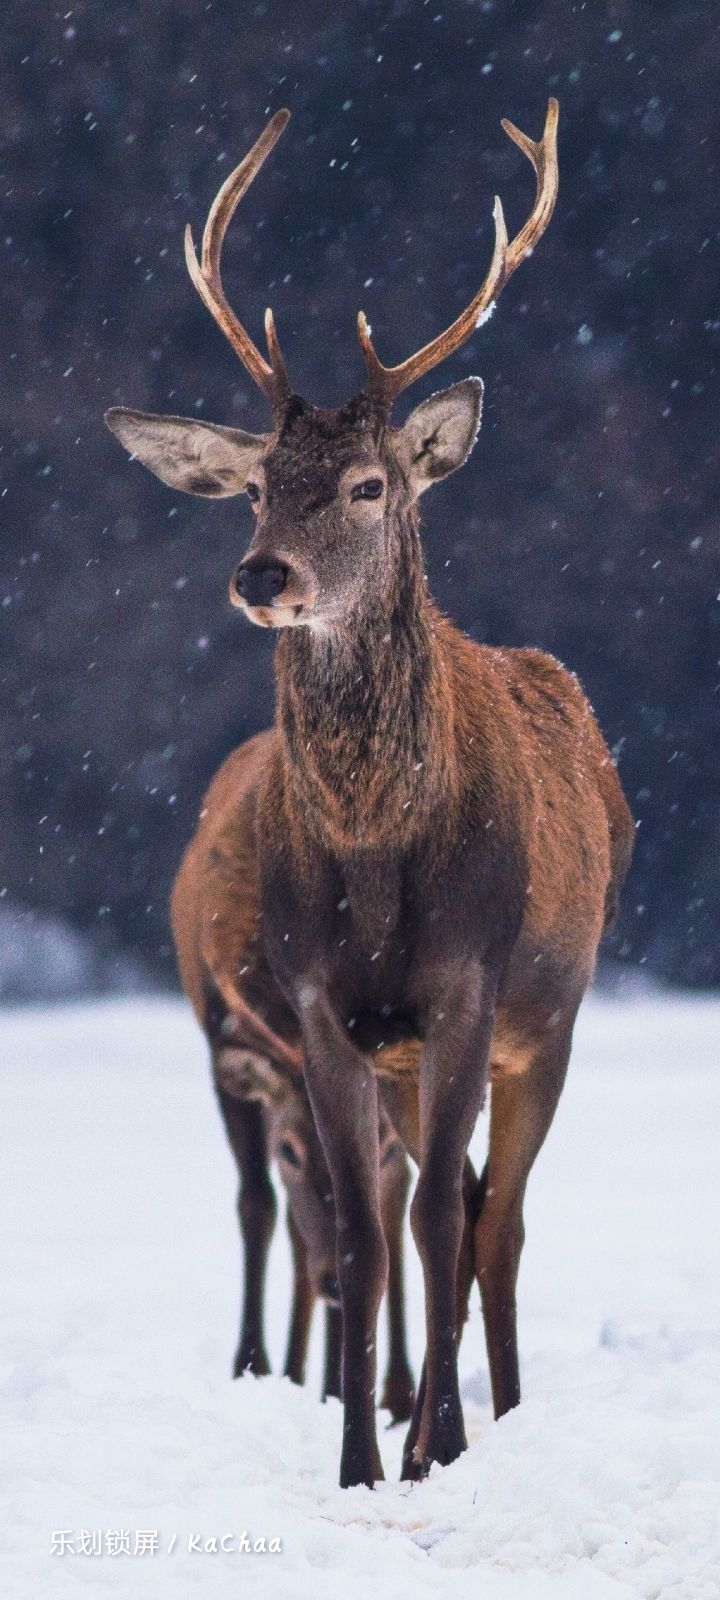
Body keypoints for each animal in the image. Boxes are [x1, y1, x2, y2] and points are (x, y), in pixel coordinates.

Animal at [170, 743, 415, 1422]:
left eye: (384, 1147)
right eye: (290, 1151)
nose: (337, 1282)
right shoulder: (225, 1054)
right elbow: (257, 1204)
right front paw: (251, 1364)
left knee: (395, 1213)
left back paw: (390, 1388)